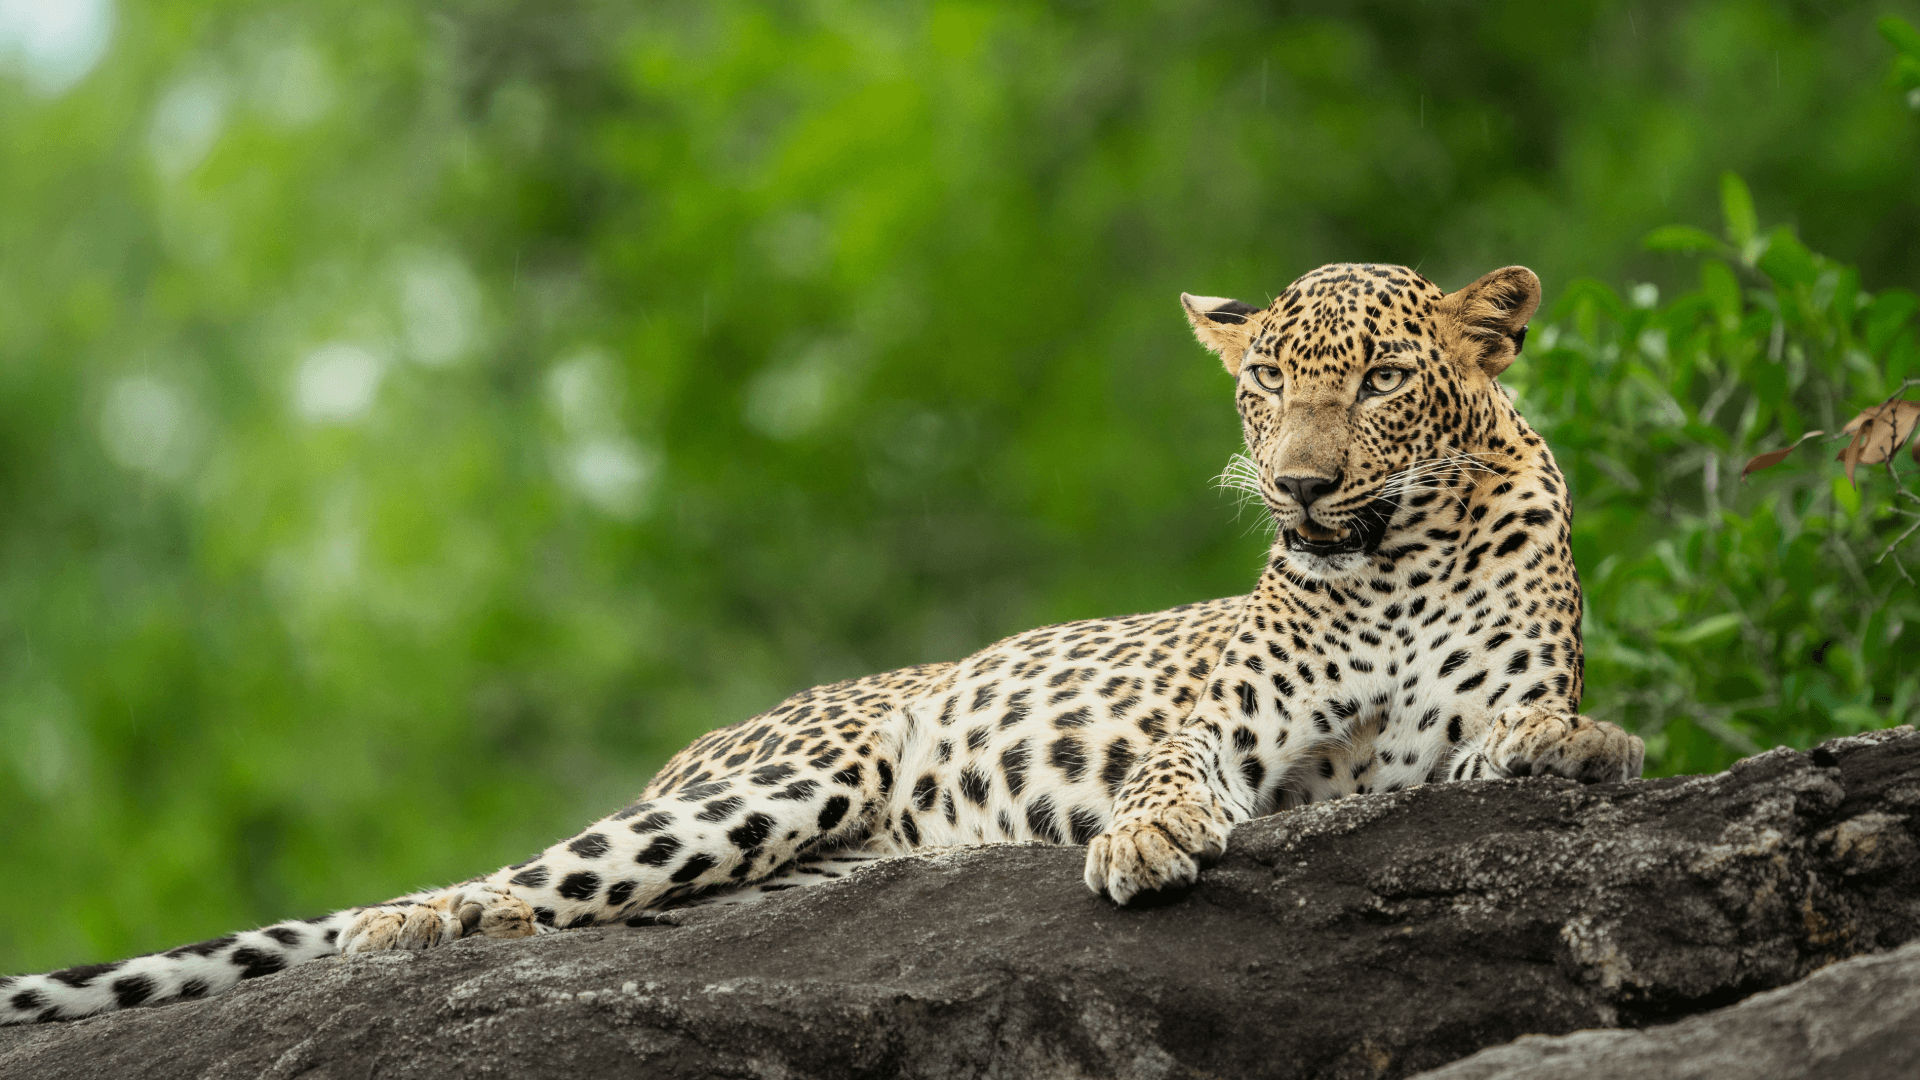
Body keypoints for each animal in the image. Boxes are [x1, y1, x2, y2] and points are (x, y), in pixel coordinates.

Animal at [0, 262, 1644, 1024]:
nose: (1298, 486)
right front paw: (1138, 840)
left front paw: (1589, 745)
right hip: (783, 782)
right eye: (1262, 390)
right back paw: (425, 927)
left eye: (1377, 384)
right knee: (521, 878)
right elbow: (1173, 768)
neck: (1394, 557)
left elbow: (1521, 732)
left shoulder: (1456, 720)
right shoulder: (1225, 719)